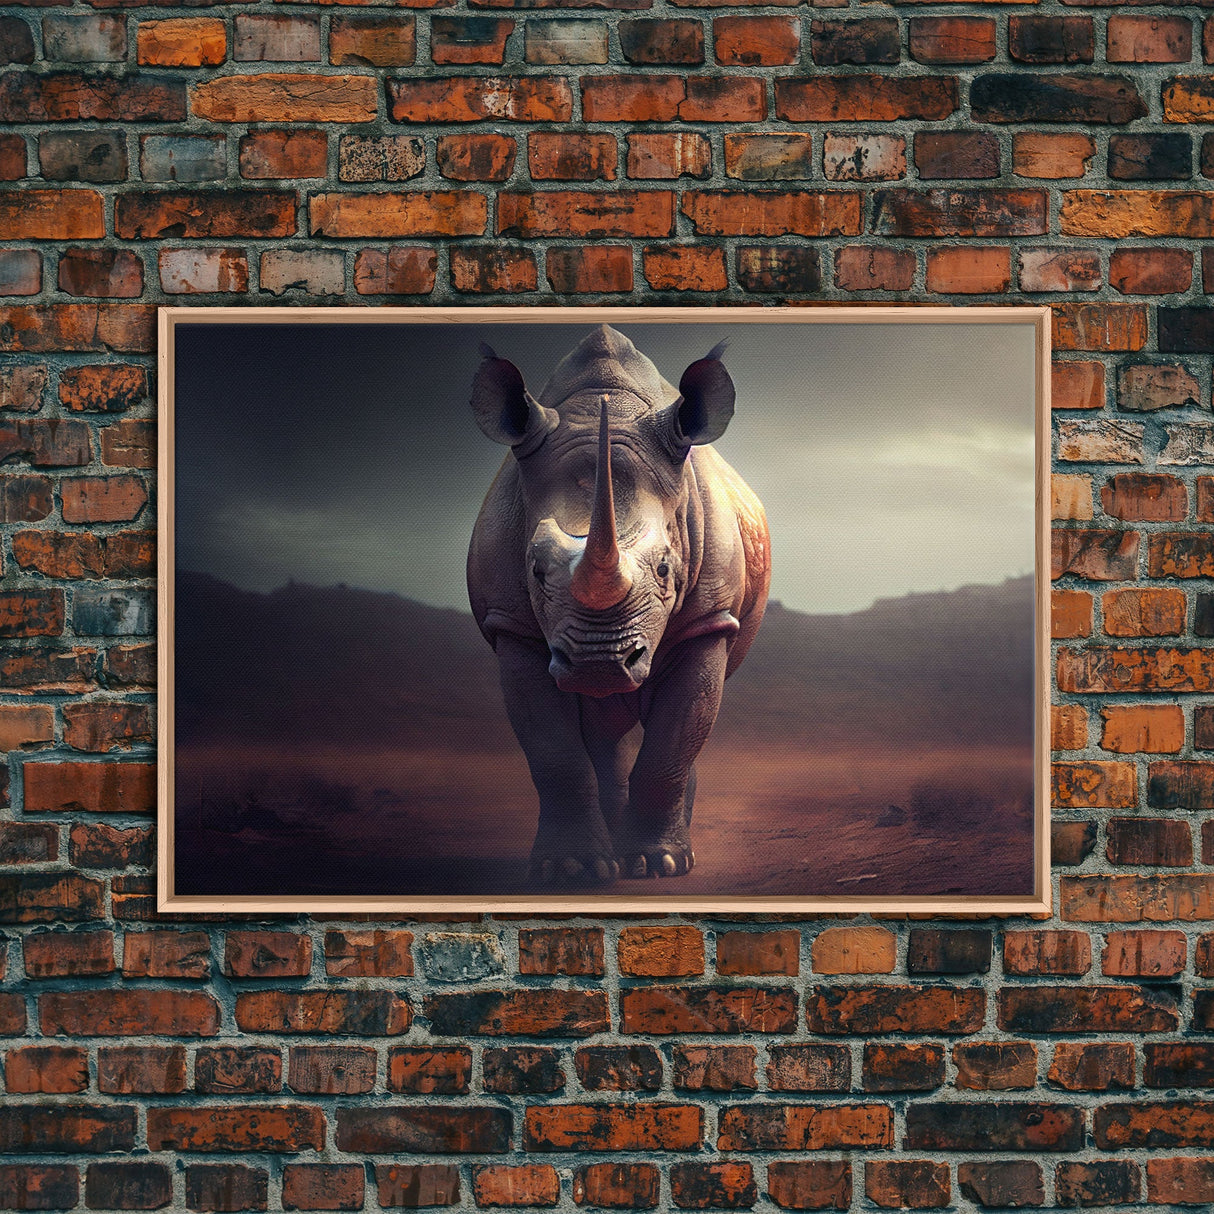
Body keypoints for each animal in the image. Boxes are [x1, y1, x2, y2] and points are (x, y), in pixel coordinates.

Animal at [467, 325, 770, 885]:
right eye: (535, 570)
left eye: (666, 569)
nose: (600, 662)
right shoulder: (513, 625)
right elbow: (554, 752)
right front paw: (571, 868)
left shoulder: (708, 622)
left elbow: (674, 741)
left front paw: (661, 864)